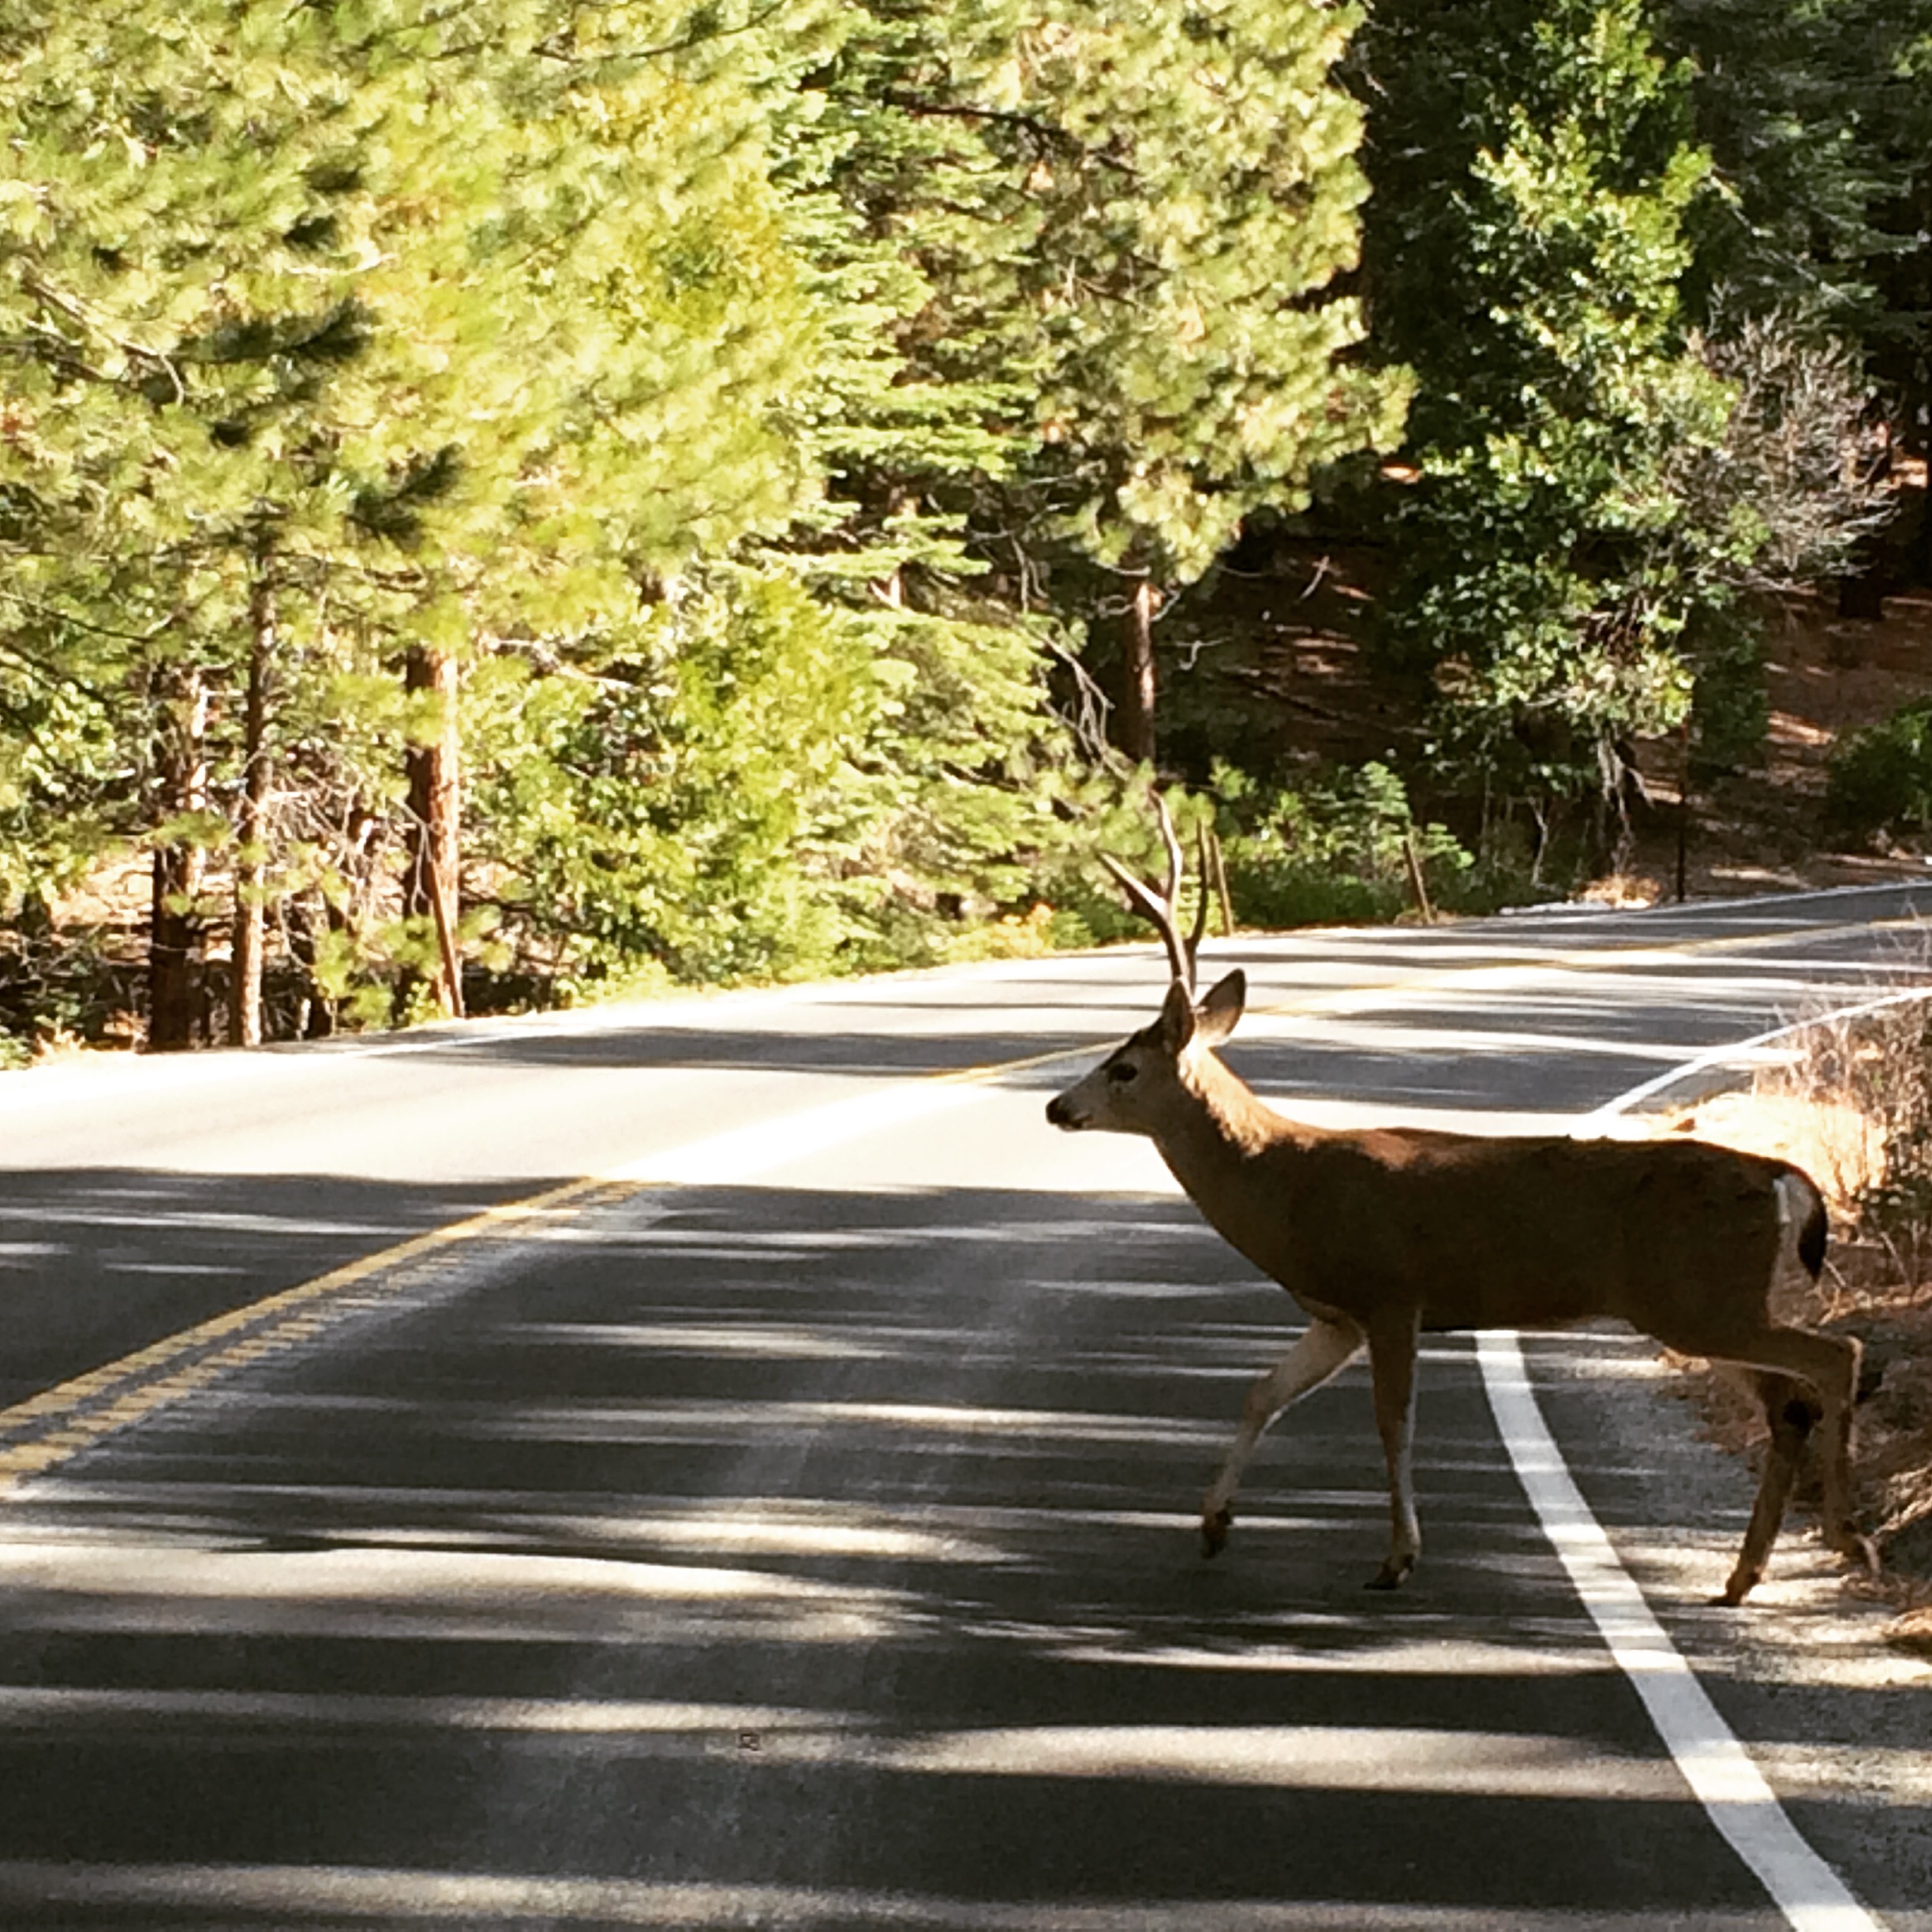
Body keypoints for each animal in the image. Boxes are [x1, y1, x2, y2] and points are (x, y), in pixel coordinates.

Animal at [1050, 807, 1878, 1607]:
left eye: (1123, 1068)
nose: (1060, 1107)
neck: (1286, 1184)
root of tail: (1782, 1177)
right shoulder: (1337, 1315)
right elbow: (1263, 1394)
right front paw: (1214, 1525)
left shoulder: (1390, 1293)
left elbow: (1393, 1423)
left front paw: (1398, 1558)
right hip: (1698, 1303)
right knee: (1788, 1403)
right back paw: (1744, 1576)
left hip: (1699, 1299)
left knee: (1836, 1355)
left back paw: (1847, 1538)